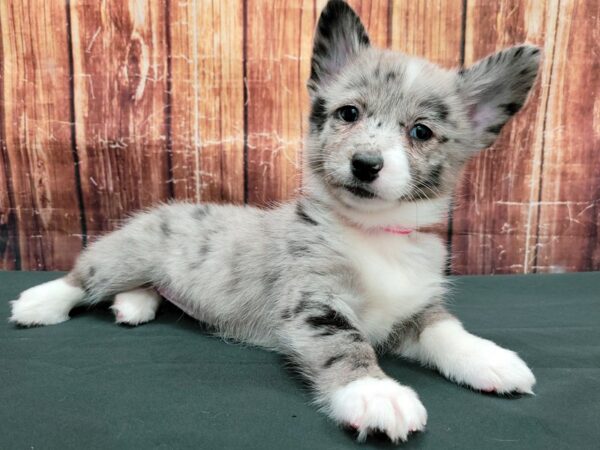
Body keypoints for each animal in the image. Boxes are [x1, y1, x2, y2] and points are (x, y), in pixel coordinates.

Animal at [11, 0, 540, 442]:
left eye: (421, 132)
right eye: (349, 113)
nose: (366, 164)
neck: (373, 233)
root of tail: (164, 209)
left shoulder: (415, 306)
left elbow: (446, 330)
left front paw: (490, 359)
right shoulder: (314, 304)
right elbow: (346, 345)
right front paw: (375, 393)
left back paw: (133, 305)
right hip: (125, 255)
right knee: (83, 276)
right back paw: (41, 302)